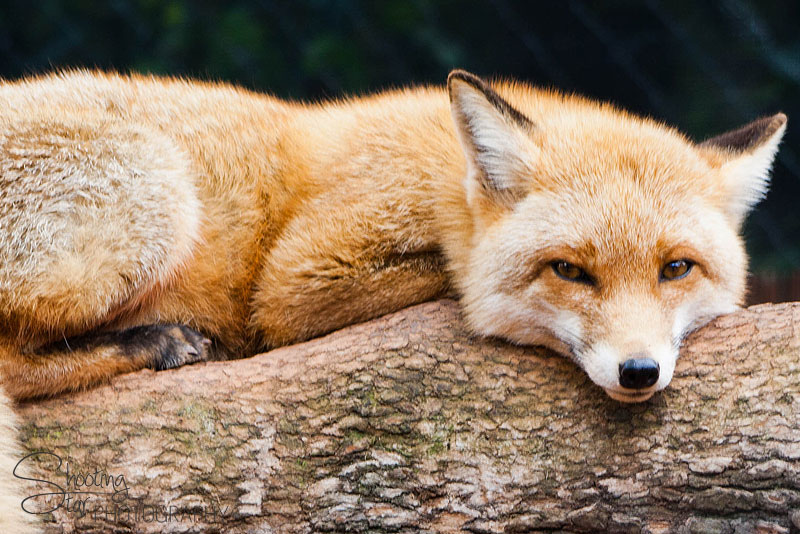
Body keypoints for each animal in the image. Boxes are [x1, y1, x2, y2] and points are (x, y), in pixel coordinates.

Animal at [0, 69, 787, 530]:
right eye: (569, 270)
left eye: (675, 268)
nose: (638, 372)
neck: (443, 171)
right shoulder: (296, 280)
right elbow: (448, 275)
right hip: (158, 188)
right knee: (14, 362)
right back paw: (153, 343)